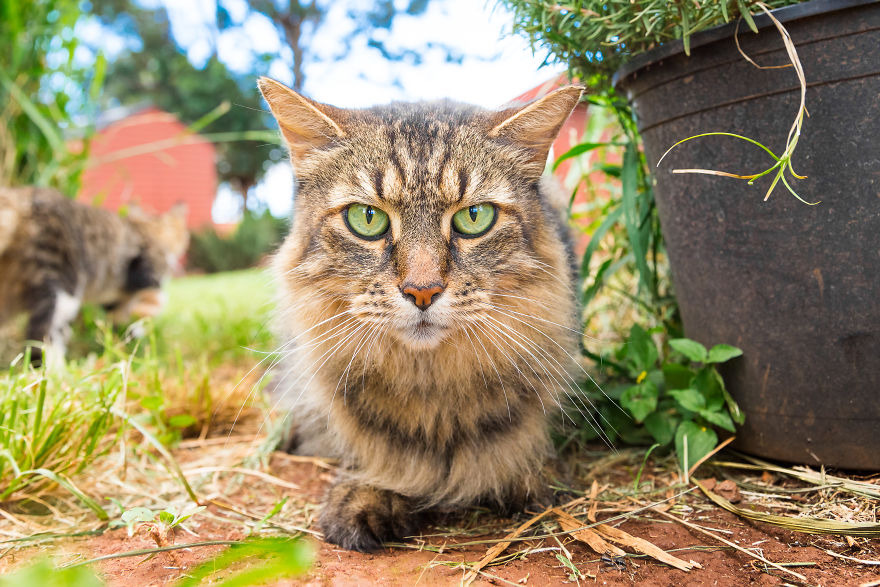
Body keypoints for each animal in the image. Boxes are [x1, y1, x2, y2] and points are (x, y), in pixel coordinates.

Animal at [0, 186, 189, 366]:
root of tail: (19, 198)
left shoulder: (115, 300)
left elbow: (122, 319)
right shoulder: (147, 273)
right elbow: (154, 296)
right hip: (63, 289)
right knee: (42, 335)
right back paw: (57, 372)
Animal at [262, 77, 588, 552]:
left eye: (474, 217)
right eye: (367, 218)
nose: (422, 291)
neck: (430, 387)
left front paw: (527, 474)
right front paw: (369, 489)